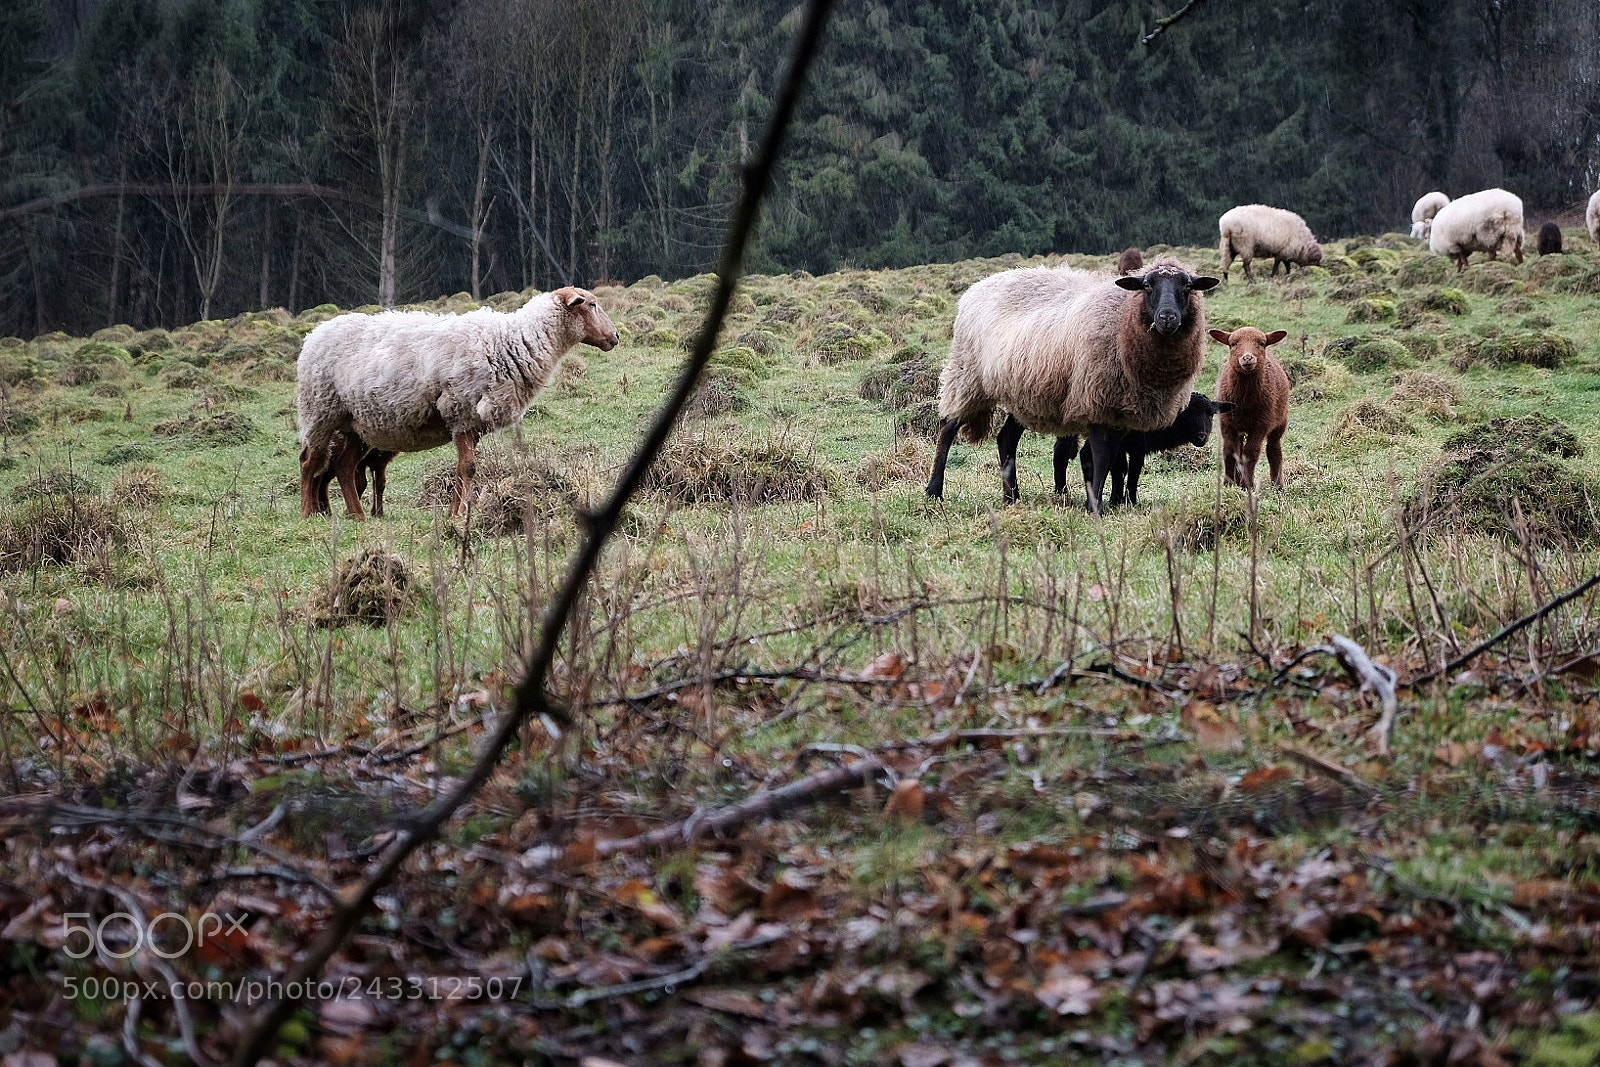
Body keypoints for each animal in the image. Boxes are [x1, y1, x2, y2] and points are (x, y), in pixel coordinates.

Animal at [297, 286, 618, 520]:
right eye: (591, 304)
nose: (615, 336)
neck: (511, 342)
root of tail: (314, 334)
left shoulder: (473, 422)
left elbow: (462, 470)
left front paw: (454, 512)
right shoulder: (461, 412)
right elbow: (469, 469)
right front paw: (462, 513)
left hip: (355, 424)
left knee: (343, 467)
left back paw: (358, 516)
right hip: (320, 412)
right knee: (309, 463)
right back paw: (308, 512)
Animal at [1054, 392, 1233, 509]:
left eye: (1211, 414)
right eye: (1186, 414)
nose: (1201, 436)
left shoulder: (1134, 446)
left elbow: (1128, 470)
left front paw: (1124, 500)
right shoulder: (1127, 442)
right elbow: (1123, 470)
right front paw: (1121, 501)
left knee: (1061, 452)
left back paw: (1062, 492)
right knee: (1081, 456)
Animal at [1211, 327, 1290, 491]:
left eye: (1262, 343)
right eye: (1233, 344)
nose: (1247, 358)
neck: (1244, 402)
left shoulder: (1261, 424)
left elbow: (1251, 453)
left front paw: (1248, 485)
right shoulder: (1226, 423)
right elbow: (1230, 452)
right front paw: (1228, 484)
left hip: (1280, 421)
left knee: (1273, 449)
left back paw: (1277, 485)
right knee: (1239, 449)